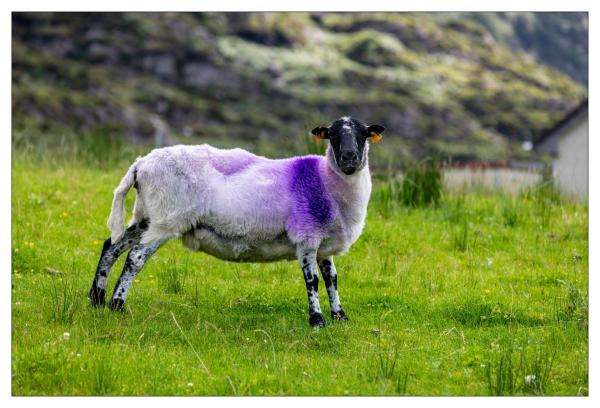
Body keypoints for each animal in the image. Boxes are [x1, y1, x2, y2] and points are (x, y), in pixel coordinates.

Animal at [91, 116, 386, 326]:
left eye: (363, 135)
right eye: (332, 135)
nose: (349, 158)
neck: (325, 181)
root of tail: (140, 164)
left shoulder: (324, 243)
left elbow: (331, 278)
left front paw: (340, 316)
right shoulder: (306, 236)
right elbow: (312, 280)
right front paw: (317, 320)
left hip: (147, 216)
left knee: (111, 247)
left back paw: (97, 299)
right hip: (166, 220)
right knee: (135, 257)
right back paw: (117, 304)